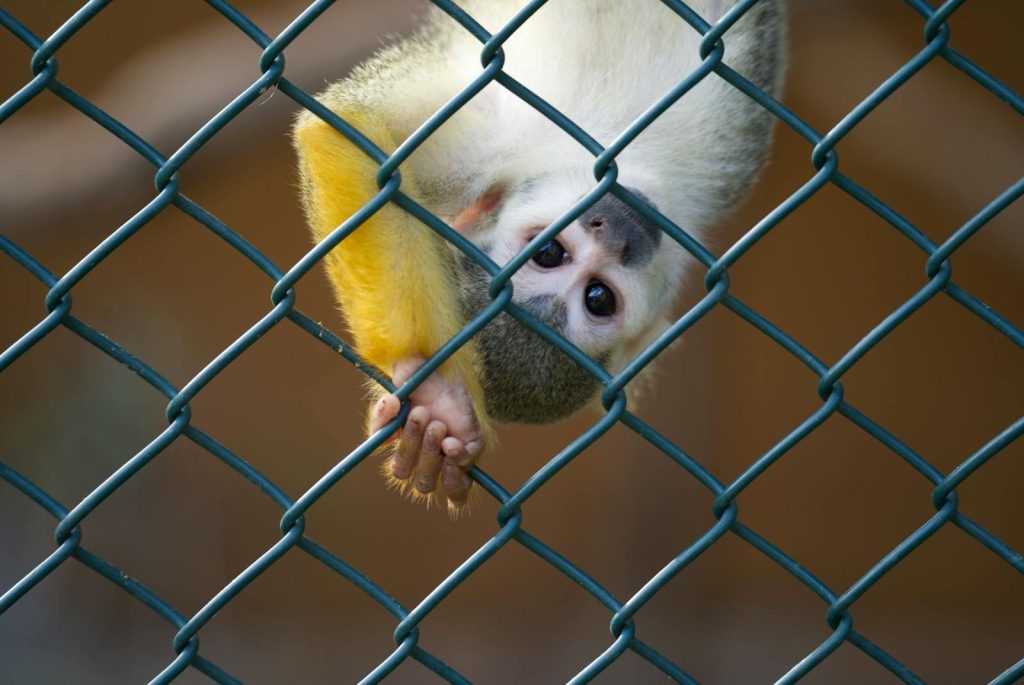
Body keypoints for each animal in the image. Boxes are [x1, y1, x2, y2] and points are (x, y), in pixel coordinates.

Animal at [292, 0, 785, 512]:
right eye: (551, 254)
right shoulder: (488, 141)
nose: (618, 236)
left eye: (598, 297)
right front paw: (437, 400)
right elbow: (349, 134)